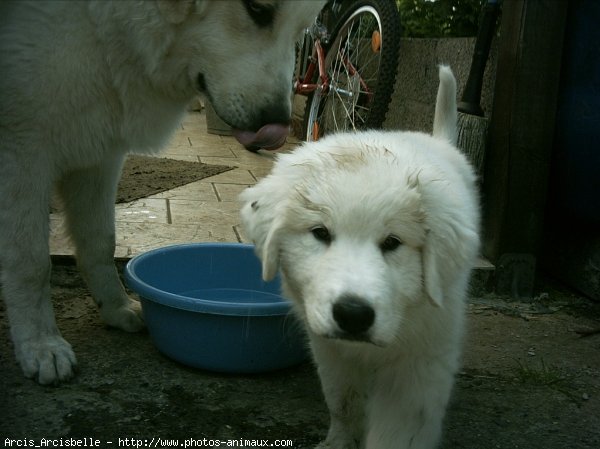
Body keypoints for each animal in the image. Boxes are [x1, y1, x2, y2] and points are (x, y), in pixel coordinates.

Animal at [0, 0, 326, 384]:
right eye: (258, 9)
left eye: (301, 31)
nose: (275, 122)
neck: (108, 25)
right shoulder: (21, 153)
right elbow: (31, 262)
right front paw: (41, 344)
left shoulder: (99, 155)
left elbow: (100, 242)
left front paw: (115, 308)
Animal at [241, 66, 480, 448]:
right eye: (320, 233)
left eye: (393, 242)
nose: (353, 314)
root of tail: (439, 141)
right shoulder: (331, 351)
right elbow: (343, 401)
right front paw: (338, 441)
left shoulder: (418, 365)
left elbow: (399, 430)